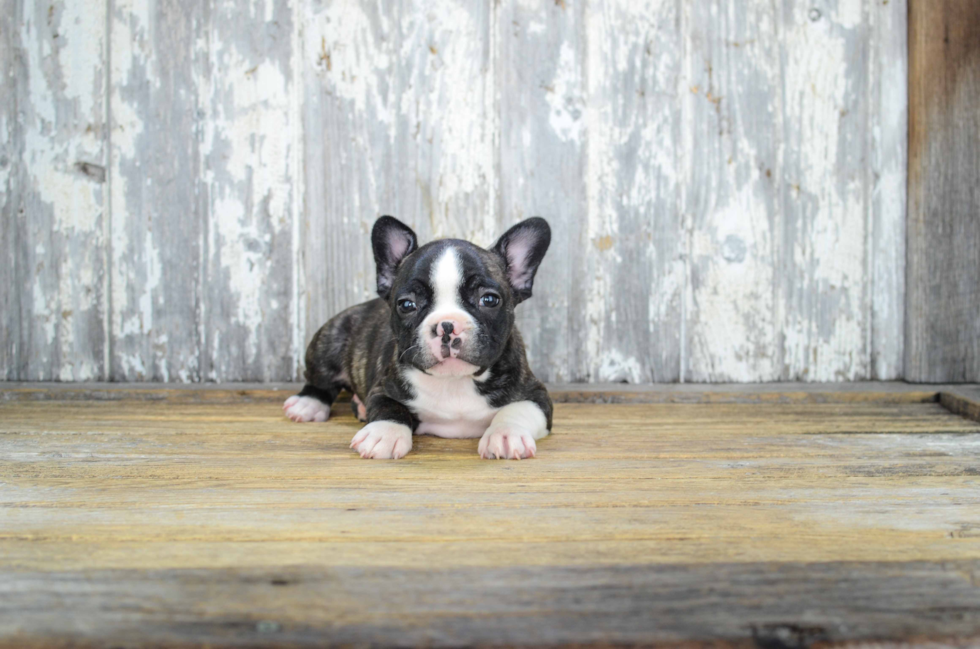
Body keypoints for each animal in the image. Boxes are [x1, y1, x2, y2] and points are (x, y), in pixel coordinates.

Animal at [288, 215, 556, 458]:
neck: (454, 382)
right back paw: (308, 404)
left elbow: (515, 411)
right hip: (331, 338)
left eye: (489, 300)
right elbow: (390, 408)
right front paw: (384, 433)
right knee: (320, 381)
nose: (447, 326)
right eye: (407, 305)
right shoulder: (383, 388)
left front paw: (505, 435)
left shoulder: (536, 395)